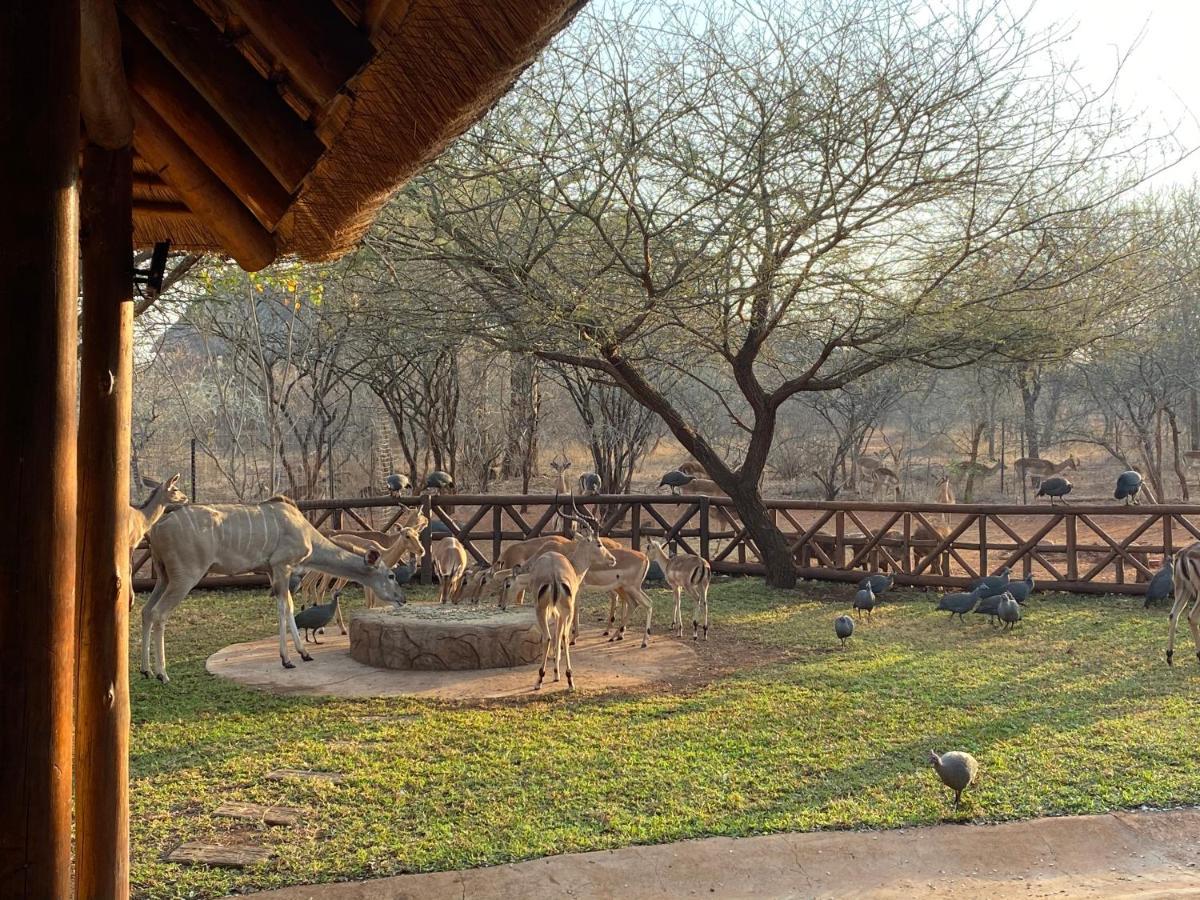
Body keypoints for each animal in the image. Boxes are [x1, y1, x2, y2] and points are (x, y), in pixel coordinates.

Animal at [142, 496, 405, 681]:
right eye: (391, 575)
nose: (401, 599)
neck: (306, 531)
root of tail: (156, 529)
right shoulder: (282, 567)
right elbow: (285, 608)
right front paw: (288, 659)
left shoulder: (273, 572)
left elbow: (287, 607)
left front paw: (303, 653)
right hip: (185, 577)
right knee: (159, 613)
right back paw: (162, 674)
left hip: (164, 577)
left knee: (146, 611)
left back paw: (146, 671)